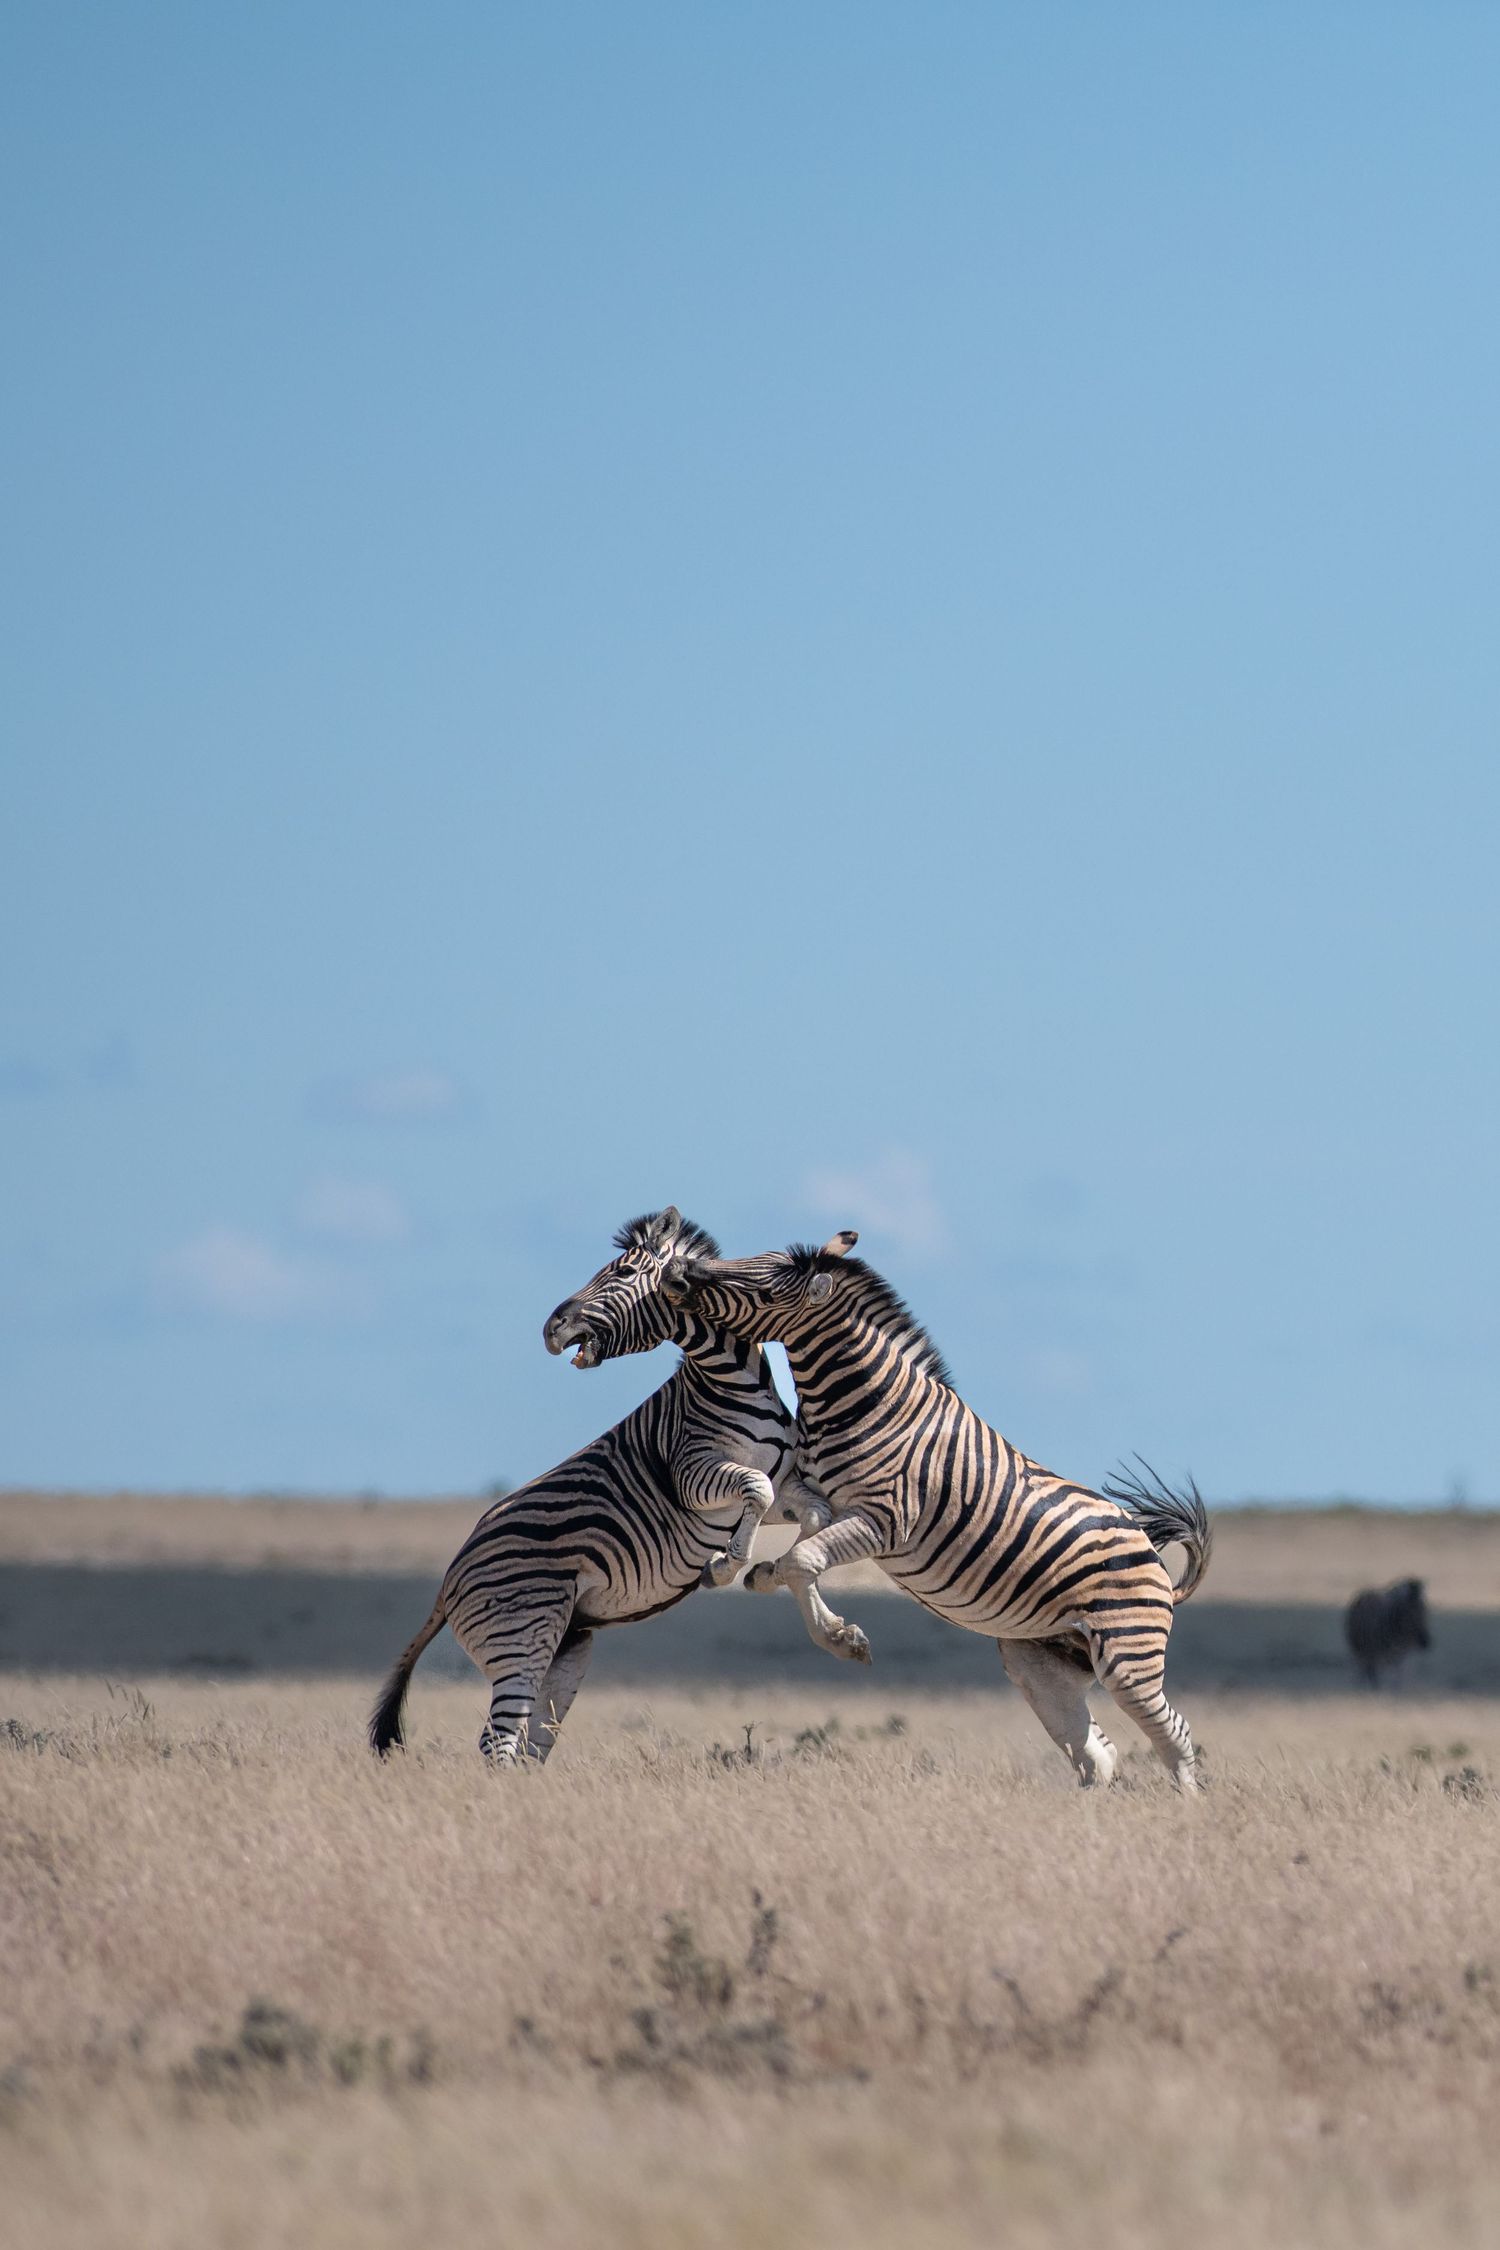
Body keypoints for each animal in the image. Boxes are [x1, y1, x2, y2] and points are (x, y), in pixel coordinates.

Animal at [368, 1209, 865, 1765]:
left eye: (624, 1273)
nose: (549, 1329)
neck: (739, 1383)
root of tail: (450, 1577)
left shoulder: (784, 1482)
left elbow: (810, 1511)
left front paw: (798, 1587)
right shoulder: (692, 1473)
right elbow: (754, 1489)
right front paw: (724, 1565)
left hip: (564, 1647)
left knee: (523, 1744)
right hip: (522, 1640)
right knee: (497, 1742)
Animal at [574, 1228, 1211, 1790]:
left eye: (764, 1288)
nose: (678, 1274)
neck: (864, 1403)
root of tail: (1157, 1560)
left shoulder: (885, 1521)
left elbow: (804, 1560)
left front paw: (838, 1636)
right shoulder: (806, 1487)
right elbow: (794, 1535)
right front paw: (755, 1571)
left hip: (1127, 1656)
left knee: (1175, 1737)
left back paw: (1185, 1811)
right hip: (1041, 1663)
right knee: (1095, 1756)